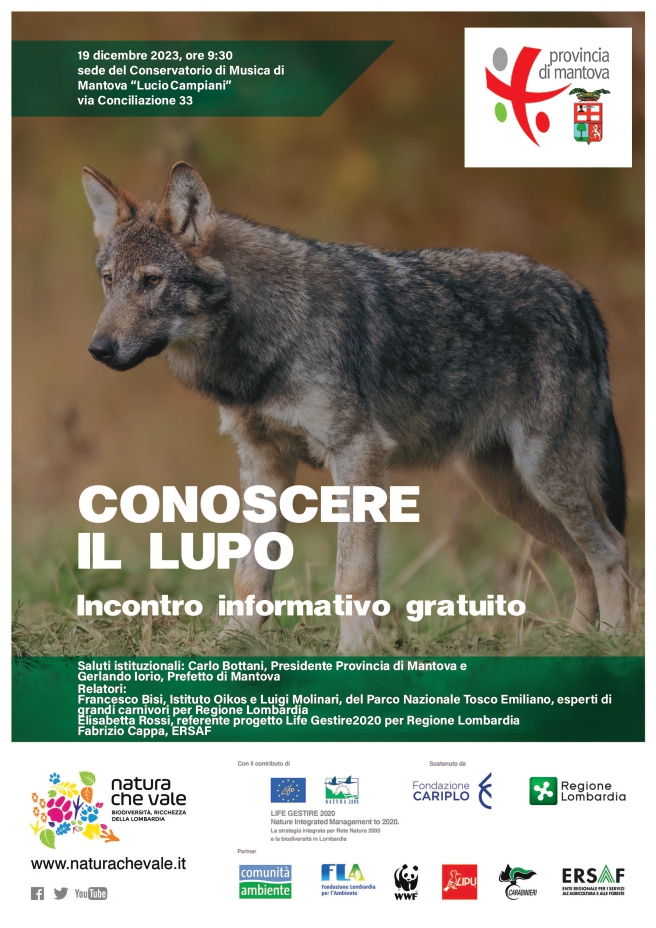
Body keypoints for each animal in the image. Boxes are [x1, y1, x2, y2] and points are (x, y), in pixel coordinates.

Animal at [83, 161, 630, 652]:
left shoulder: (358, 453)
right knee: (583, 559)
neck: (266, 336)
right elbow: (249, 573)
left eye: (151, 281)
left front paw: (354, 651)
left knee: (611, 550)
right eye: (109, 280)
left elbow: (353, 576)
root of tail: (577, 294)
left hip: (544, 479)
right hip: (508, 491)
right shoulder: (263, 461)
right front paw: (230, 643)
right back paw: (576, 643)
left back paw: (612, 641)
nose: (98, 349)